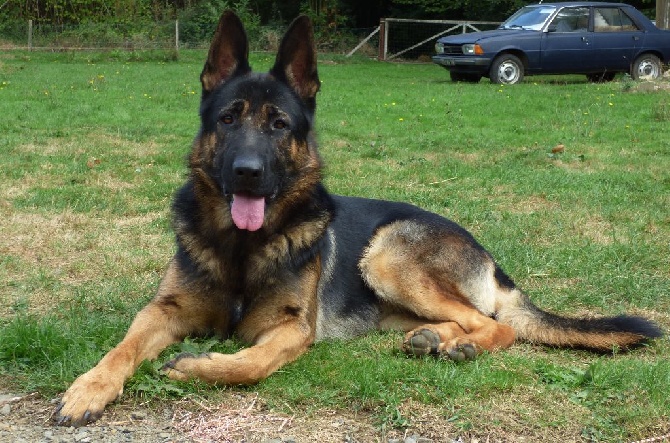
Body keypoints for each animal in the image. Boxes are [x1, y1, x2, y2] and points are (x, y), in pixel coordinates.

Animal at [52, 11, 660, 426]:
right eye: (228, 118)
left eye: (279, 124)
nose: (248, 172)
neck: (243, 248)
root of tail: (490, 259)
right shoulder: (164, 310)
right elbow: (121, 348)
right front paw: (87, 388)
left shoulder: (291, 330)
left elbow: (247, 363)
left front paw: (193, 366)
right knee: (465, 319)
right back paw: (432, 339)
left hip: (389, 255)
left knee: (496, 323)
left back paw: (459, 344)